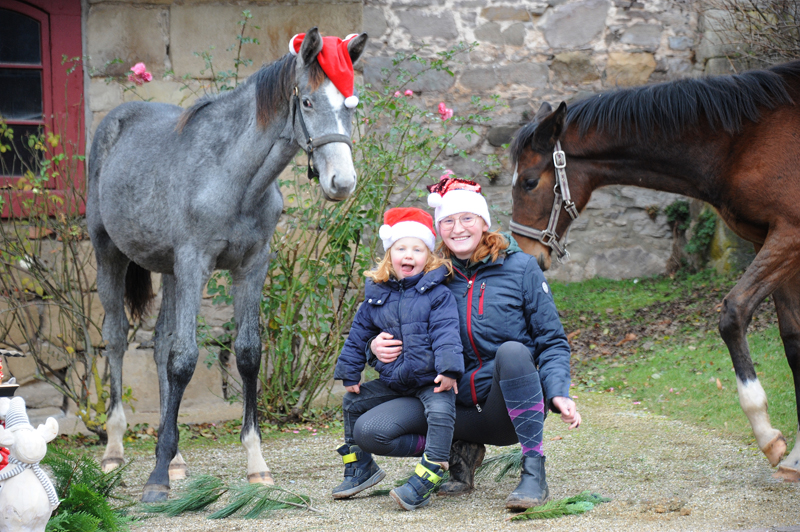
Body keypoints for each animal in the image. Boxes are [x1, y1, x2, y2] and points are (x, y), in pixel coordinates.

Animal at [86, 29, 368, 502]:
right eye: (308, 101)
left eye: (351, 104)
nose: (342, 183)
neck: (232, 177)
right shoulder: (194, 263)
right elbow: (185, 359)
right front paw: (156, 479)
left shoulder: (251, 266)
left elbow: (247, 354)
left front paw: (256, 464)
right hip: (109, 253)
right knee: (117, 338)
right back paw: (114, 450)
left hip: (169, 270)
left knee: (160, 342)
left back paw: (176, 457)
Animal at [512, 61, 800, 478]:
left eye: (531, 182)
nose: (527, 254)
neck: (743, 140)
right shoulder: (772, 240)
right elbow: (793, 341)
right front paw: (796, 456)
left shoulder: (789, 235)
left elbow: (734, 313)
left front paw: (768, 437)